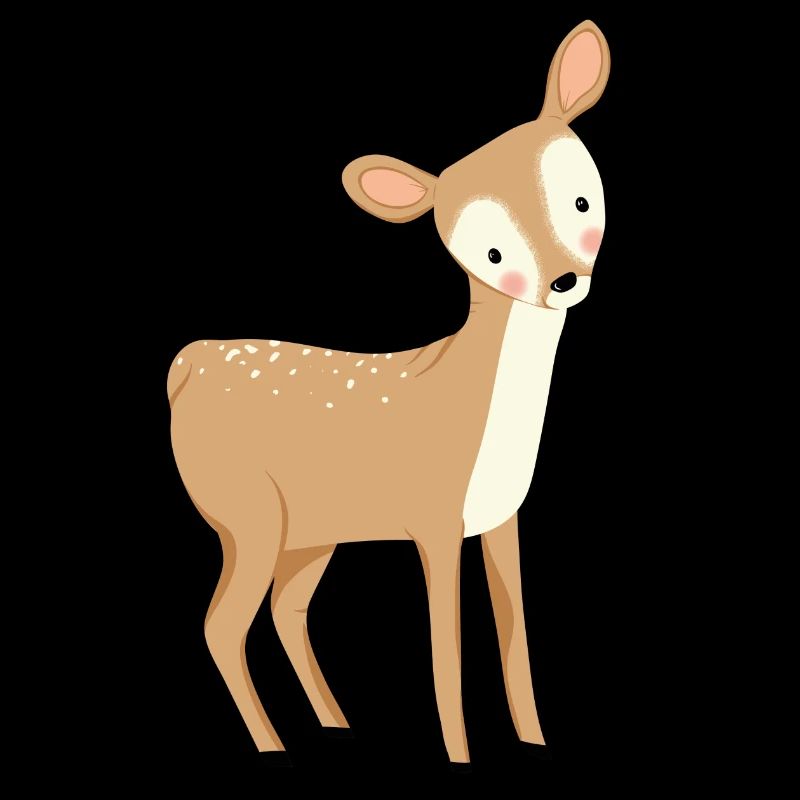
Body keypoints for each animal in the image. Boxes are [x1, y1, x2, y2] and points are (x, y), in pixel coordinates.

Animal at [168, 20, 609, 767]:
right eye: (490, 255)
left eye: (581, 200)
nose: (562, 280)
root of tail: (184, 365)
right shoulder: (432, 518)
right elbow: (444, 648)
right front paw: (460, 755)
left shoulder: (502, 518)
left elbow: (516, 635)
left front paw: (534, 739)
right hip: (243, 512)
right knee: (222, 625)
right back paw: (272, 744)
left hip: (311, 532)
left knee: (286, 610)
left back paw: (335, 724)